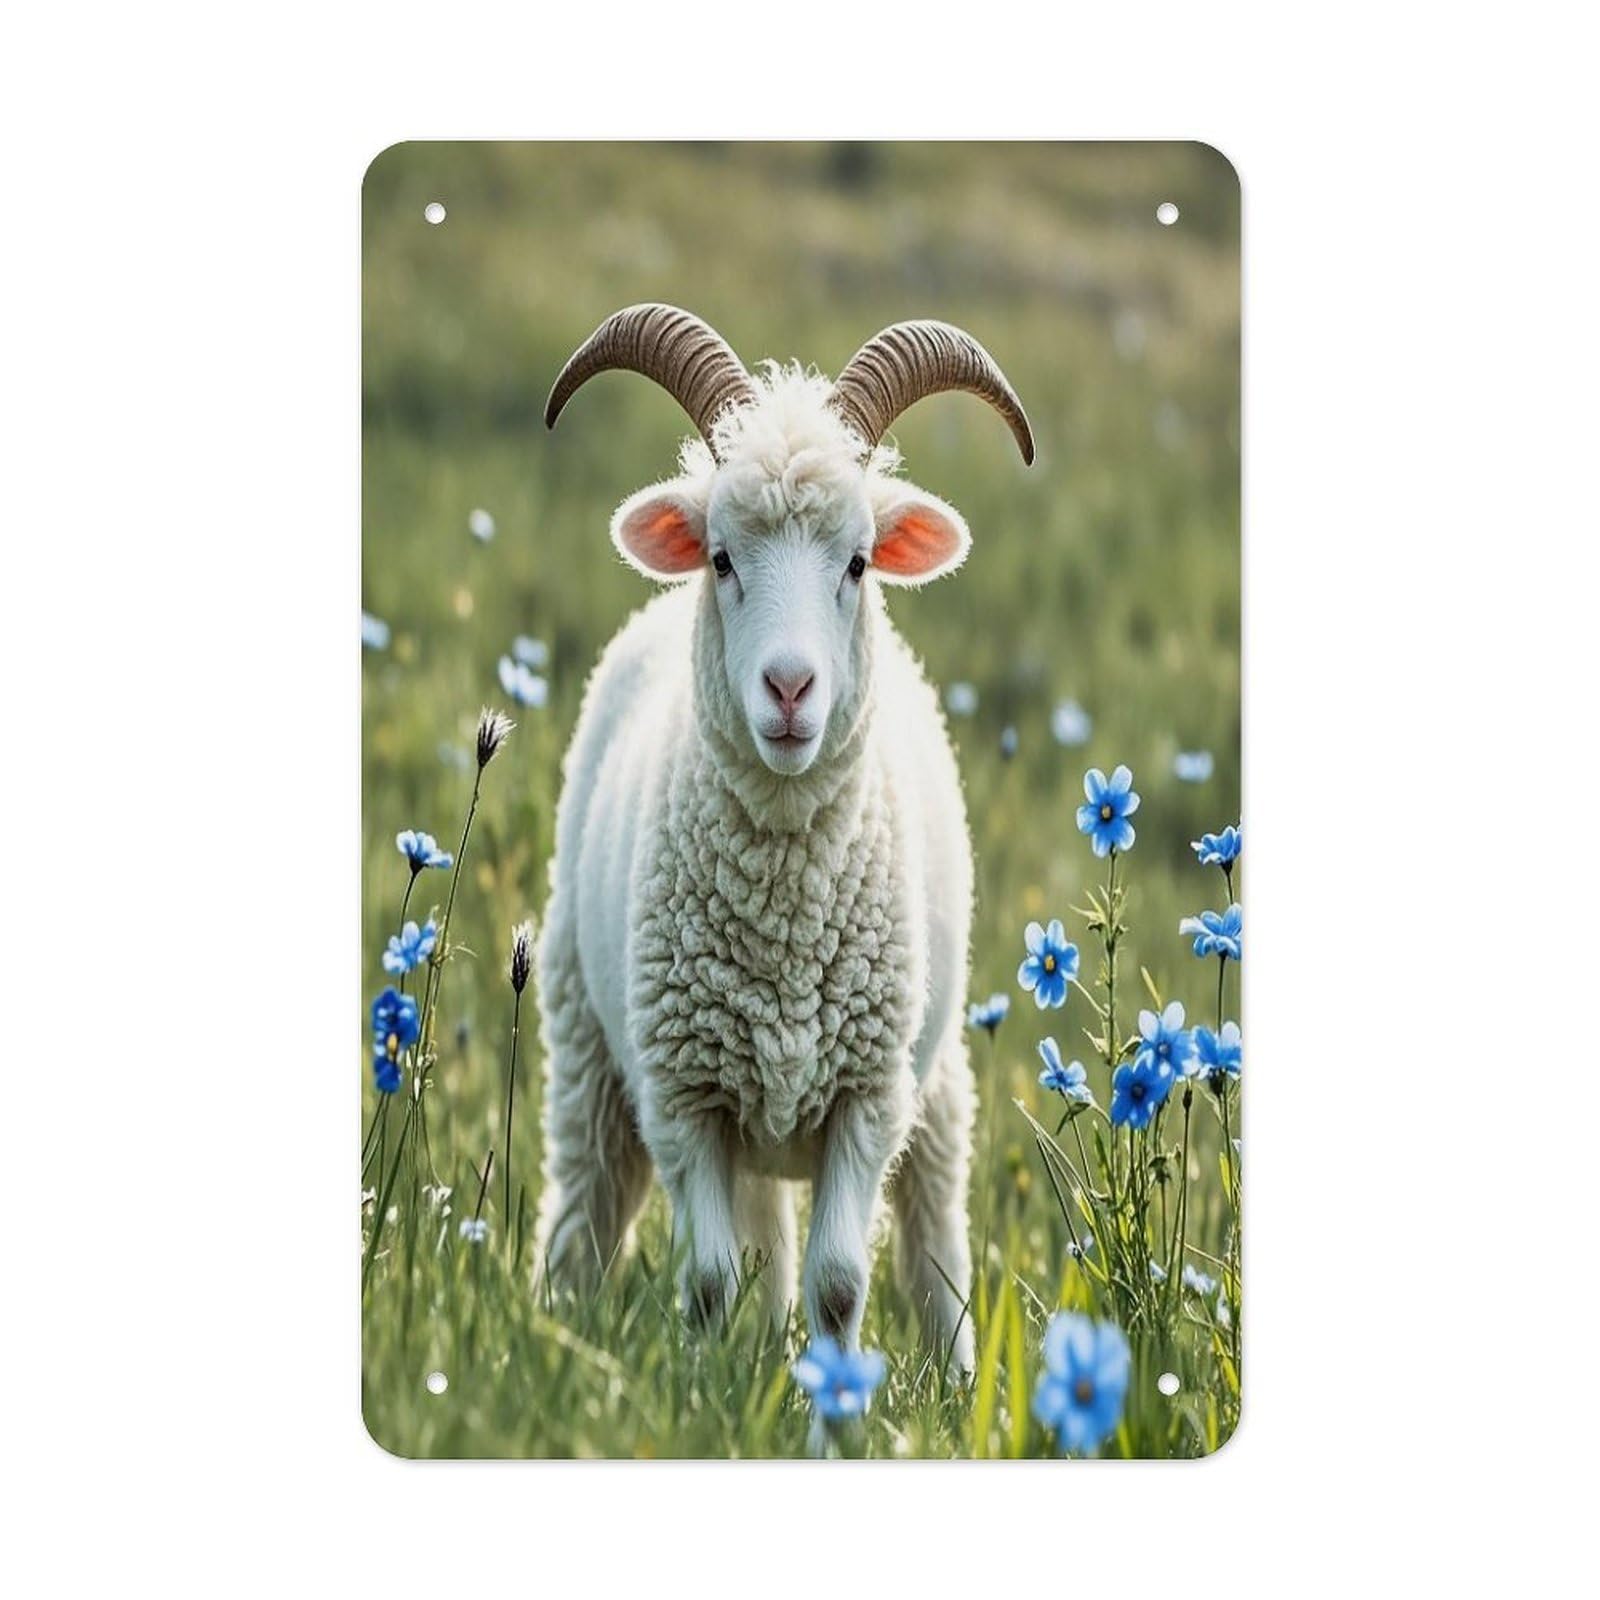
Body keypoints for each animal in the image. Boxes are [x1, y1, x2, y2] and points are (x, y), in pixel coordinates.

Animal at [532, 305, 1034, 1376]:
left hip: (931, 1089)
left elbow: (840, 1284)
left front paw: (830, 1399)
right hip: (594, 1048)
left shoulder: (867, 1098)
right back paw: (552, 1339)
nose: (792, 689)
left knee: (932, 1246)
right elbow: (711, 1281)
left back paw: (953, 1375)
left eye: (858, 562)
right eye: (722, 557)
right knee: (588, 1219)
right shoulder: (685, 1098)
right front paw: (701, 1393)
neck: (785, 918)